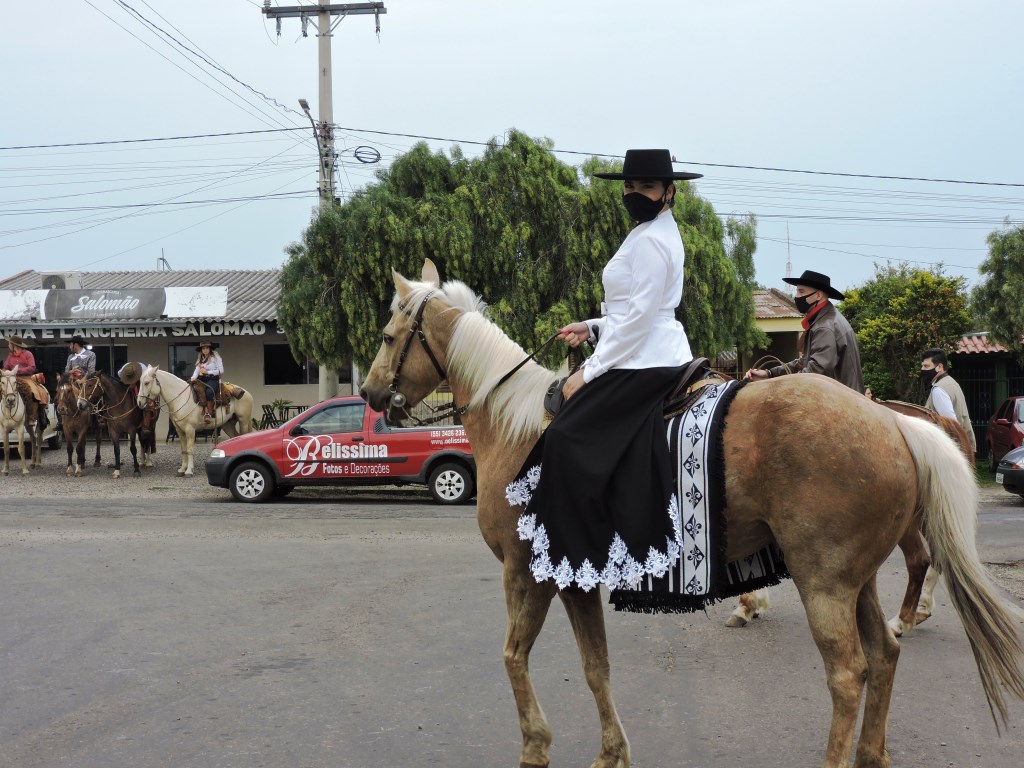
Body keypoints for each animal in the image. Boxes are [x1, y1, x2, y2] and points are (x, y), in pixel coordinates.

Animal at [360, 264, 1024, 768]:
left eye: (390, 334)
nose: (369, 394)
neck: (519, 426)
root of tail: (893, 421)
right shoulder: (573, 578)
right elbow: (595, 666)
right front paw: (612, 753)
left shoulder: (525, 571)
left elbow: (513, 656)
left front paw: (535, 747)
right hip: (854, 581)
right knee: (883, 653)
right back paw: (872, 748)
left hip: (824, 581)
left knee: (849, 672)